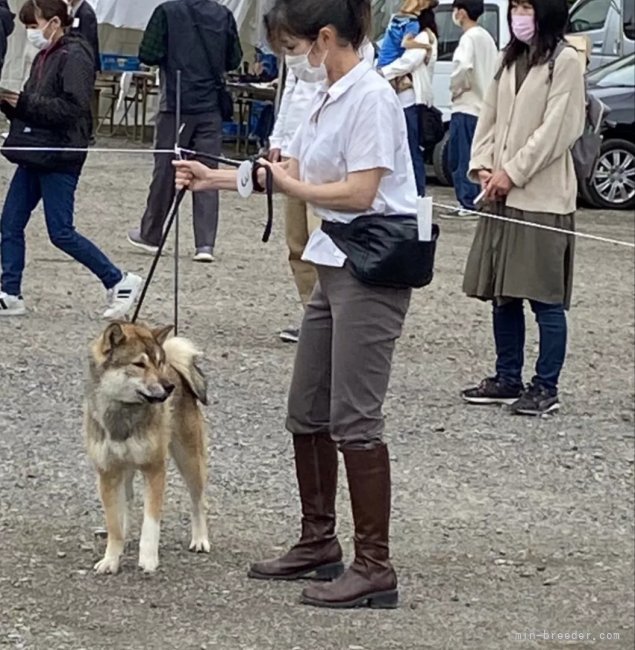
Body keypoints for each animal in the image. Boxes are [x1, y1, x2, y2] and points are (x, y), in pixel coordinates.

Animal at [82, 320, 209, 572]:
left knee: (197, 500)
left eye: (158, 362)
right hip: (126, 470)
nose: (168, 387)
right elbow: (114, 523)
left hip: (189, 459)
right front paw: (111, 559)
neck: (123, 413)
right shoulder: (108, 473)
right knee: (126, 503)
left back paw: (200, 539)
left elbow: (150, 524)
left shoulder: (154, 468)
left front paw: (148, 560)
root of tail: (176, 370)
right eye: (139, 364)